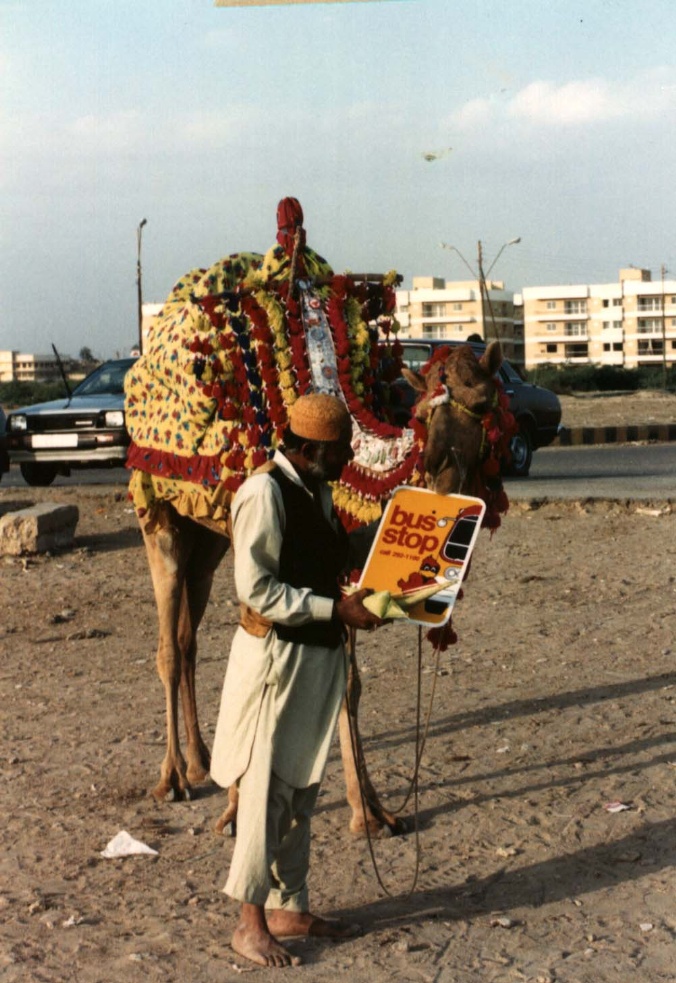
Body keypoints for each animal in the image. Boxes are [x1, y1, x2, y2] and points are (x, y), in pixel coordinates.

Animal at [124, 198, 512, 836]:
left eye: (484, 403)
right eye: (423, 413)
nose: (444, 473)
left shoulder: (347, 566)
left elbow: (349, 684)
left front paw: (373, 812)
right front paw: (240, 810)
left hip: (209, 536)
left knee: (185, 636)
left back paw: (204, 761)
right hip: (159, 512)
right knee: (165, 645)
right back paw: (173, 777)